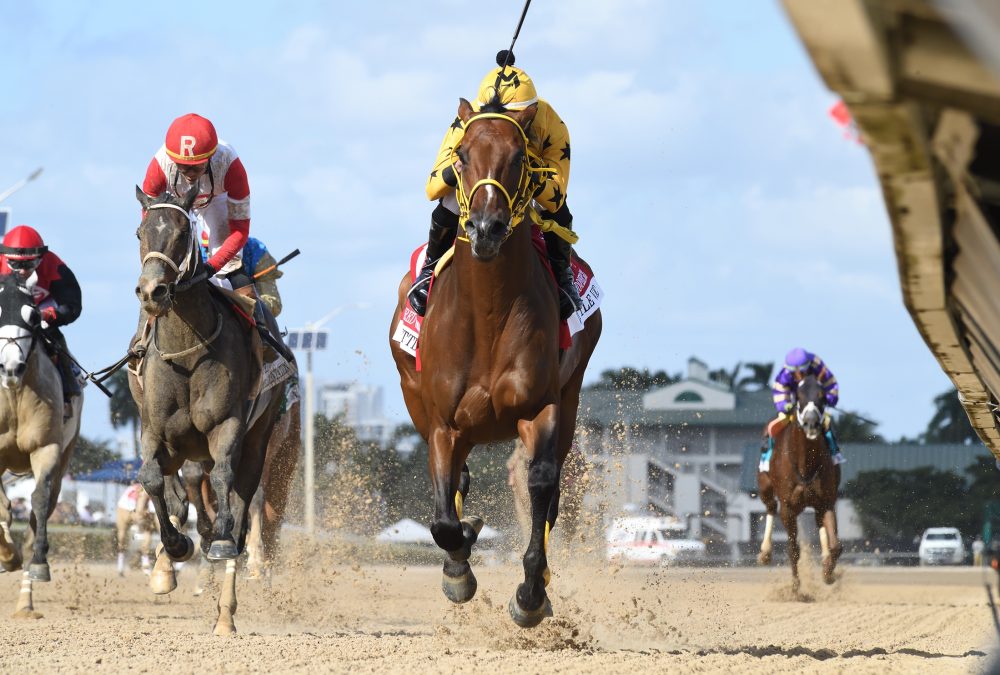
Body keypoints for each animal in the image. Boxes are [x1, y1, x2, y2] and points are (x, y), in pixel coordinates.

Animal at [131, 187, 284, 636]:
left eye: (182, 233)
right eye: (140, 232)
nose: (152, 291)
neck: (188, 350)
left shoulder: (226, 426)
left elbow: (224, 486)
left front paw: (217, 542)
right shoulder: (153, 430)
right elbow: (151, 478)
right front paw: (175, 546)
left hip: (259, 436)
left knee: (241, 500)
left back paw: (225, 609)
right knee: (182, 486)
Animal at [390, 99, 600, 628]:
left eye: (519, 157)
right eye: (461, 155)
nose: (486, 229)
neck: (486, 314)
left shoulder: (540, 407)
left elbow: (541, 484)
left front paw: (530, 594)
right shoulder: (443, 423)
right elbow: (443, 520)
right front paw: (458, 569)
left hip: (571, 397)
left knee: (550, 490)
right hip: (416, 399)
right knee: (458, 483)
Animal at [760, 372, 840, 596]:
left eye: (822, 395)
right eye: (799, 396)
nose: (811, 422)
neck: (805, 463)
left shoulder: (826, 501)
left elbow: (836, 545)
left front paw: (828, 572)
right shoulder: (788, 507)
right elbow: (793, 549)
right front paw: (796, 588)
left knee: (820, 524)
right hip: (765, 487)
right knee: (770, 507)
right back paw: (765, 552)